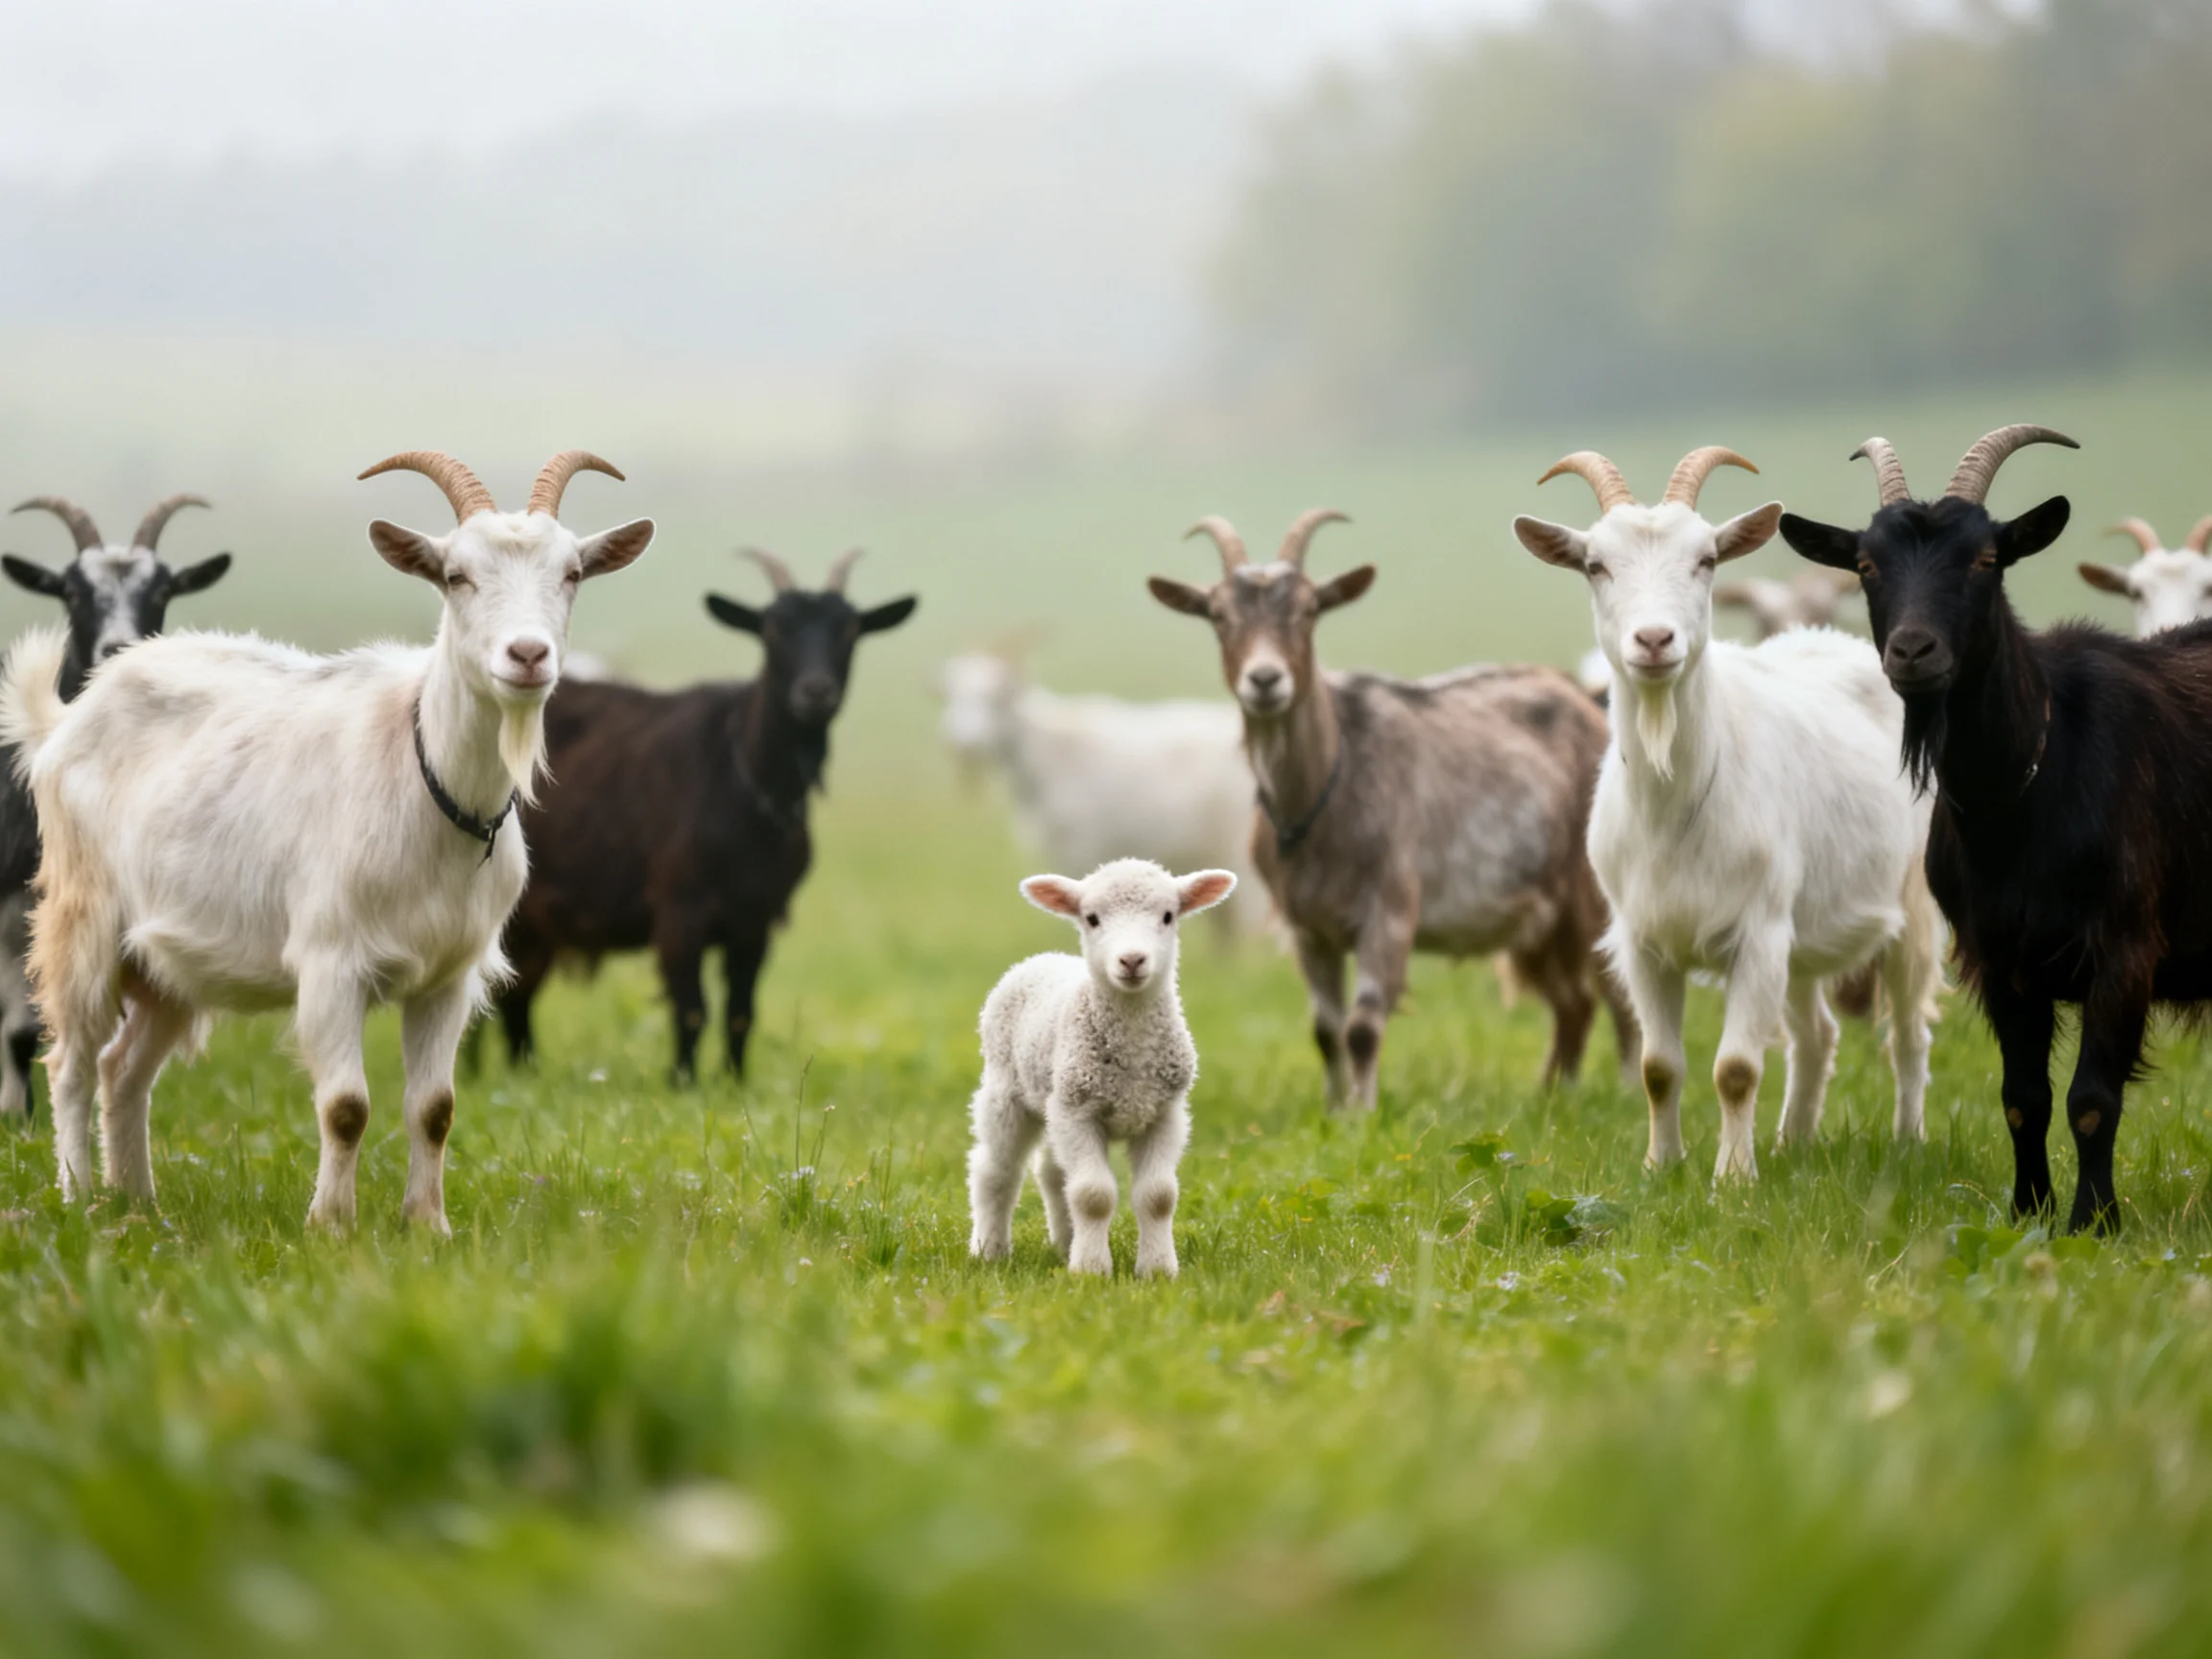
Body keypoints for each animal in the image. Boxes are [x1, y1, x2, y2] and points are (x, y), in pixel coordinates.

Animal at [494, 547, 916, 1082]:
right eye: (772, 630)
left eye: (850, 630)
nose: (816, 692)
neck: (745, 781)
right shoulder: (680, 907)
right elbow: (691, 1007)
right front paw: (683, 1083)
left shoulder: (757, 917)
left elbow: (741, 1012)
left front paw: (734, 1083)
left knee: (513, 995)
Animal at [936, 650, 1267, 935]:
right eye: (954, 698)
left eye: (996, 699)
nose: (964, 743)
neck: (1044, 754)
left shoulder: (1083, 847)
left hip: (1238, 852)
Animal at [966, 858, 1236, 1277]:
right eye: (1092, 918)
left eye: (1168, 916)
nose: (1132, 960)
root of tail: (1041, 958)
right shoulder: (1078, 1109)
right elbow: (1093, 1194)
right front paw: (1091, 1271)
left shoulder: (1165, 1112)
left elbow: (1158, 1195)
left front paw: (1157, 1269)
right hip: (1005, 1091)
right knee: (996, 1170)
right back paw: (989, 1250)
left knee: (1051, 1173)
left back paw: (1064, 1244)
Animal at [1150, 510, 1635, 1110]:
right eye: (1218, 615)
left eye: (1309, 609)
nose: (1265, 680)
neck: (1326, 789)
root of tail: (1588, 702)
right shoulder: (1308, 928)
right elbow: (1325, 1030)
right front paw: (1334, 1111)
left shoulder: (1389, 909)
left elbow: (1361, 1027)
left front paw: (1363, 1114)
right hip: (1540, 917)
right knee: (1573, 1002)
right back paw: (1551, 1097)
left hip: (1588, 892)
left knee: (1617, 991)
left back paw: (1627, 1090)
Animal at [1514, 446, 1943, 1181]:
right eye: (1596, 565)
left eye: (1707, 558)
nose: (1654, 639)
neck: (1675, 799)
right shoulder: (1644, 942)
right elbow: (1659, 1067)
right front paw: (1663, 1167)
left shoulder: (1758, 934)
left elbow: (1737, 1069)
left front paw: (1733, 1179)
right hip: (1802, 937)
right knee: (1815, 1034)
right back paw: (1793, 1142)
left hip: (1910, 904)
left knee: (1910, 1033)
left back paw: (1908, 1141)